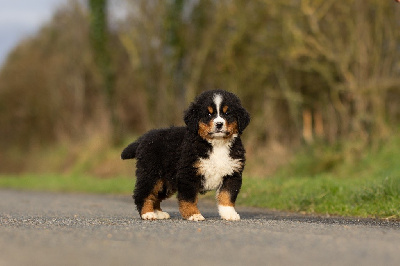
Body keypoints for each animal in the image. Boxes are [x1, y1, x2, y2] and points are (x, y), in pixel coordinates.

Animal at [120, 89, 250, 220]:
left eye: (227, 113)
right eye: (208, 114)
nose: (219, 124)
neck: (217, 144)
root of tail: (144, 137)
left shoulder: (232, 173)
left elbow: (227, 195)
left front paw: (229, 214)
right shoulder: (188, 173)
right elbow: (189, 198)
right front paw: (194, 214)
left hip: (166, 182)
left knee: (155, 195)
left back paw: (158, 212)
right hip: (151, 173)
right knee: (143, 193)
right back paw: (148, 213)